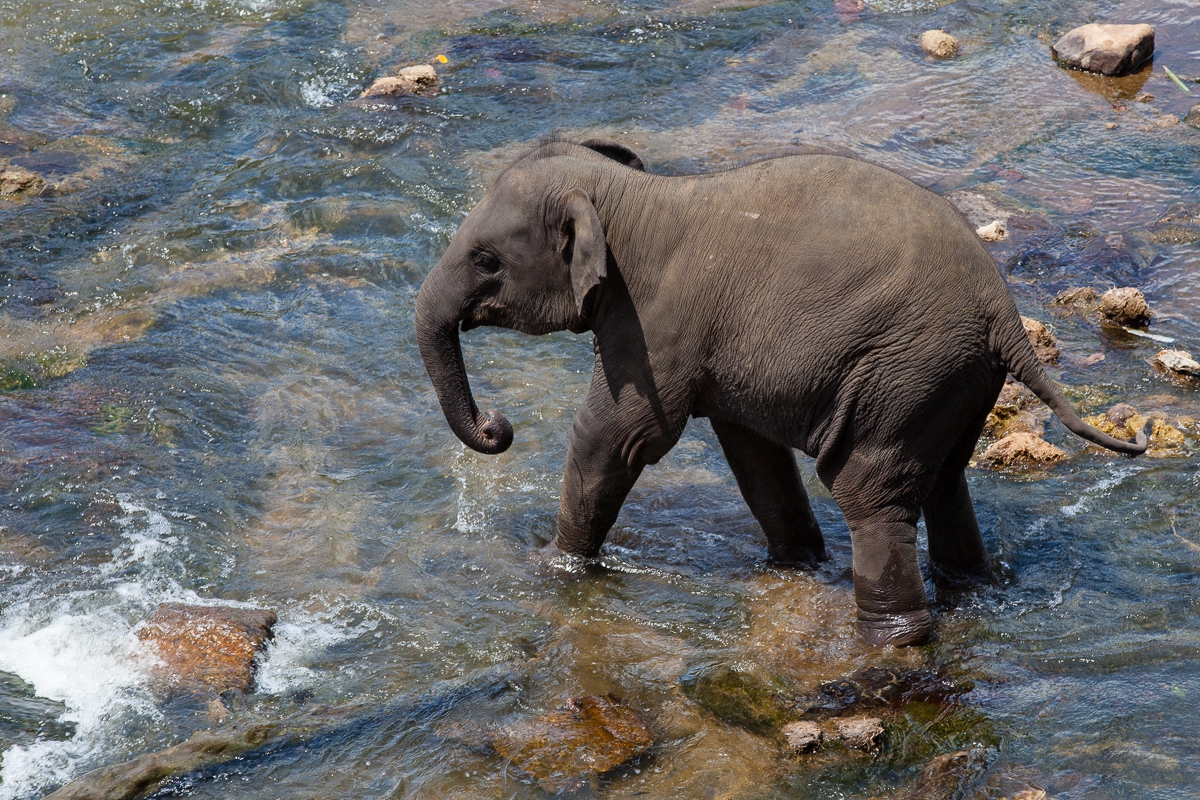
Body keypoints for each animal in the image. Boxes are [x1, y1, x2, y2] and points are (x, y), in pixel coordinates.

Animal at [414, 138, 1147, 647]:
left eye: (486, 260)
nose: (497, 426)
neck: (627, 196)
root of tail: (1004, 312)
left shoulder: (655, 326)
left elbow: (619, 436)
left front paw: (553, 567)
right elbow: (750, 449)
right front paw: (795, 565)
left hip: (904, 370)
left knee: (865, 486)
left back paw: (890, 639)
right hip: (949, 380)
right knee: (944, 480)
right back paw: (967, 592)